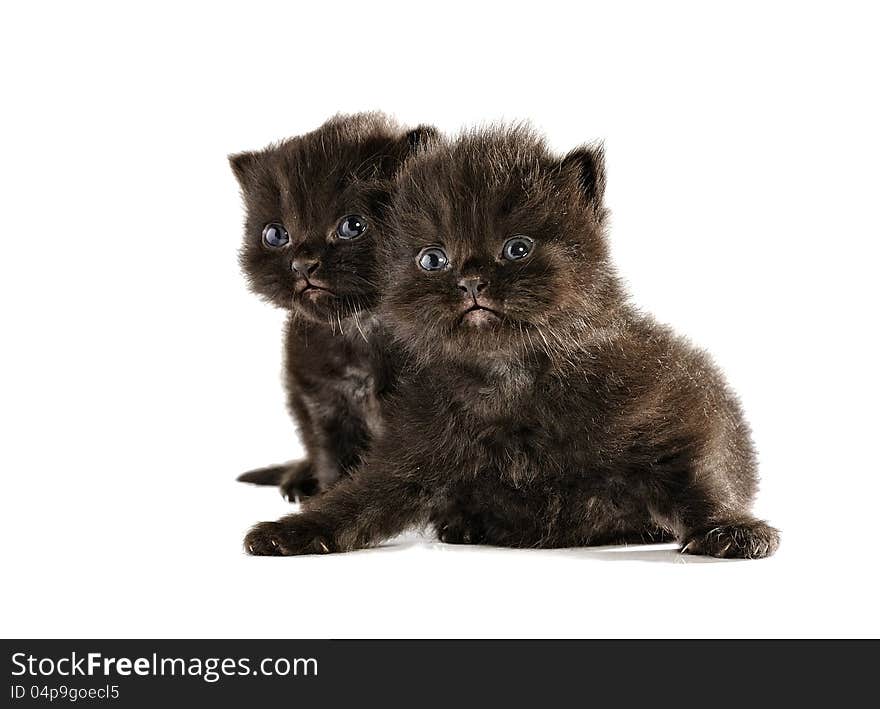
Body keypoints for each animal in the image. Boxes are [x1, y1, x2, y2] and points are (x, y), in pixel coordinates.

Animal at [230, 112, 436, 498]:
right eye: (276, 235)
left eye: (352, 226)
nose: (303, 264)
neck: (361, 327)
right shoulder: (320, 398)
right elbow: (333, 457)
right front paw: (328, 493)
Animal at [244, 126, 780, 560]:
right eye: (432, 259)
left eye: (517, 249)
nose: (471, 281)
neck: (510, 376)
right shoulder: (412, 442)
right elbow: (357, 497)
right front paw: (293, 531)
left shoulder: (667, 405)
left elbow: (695, 475)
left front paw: (730, 528)